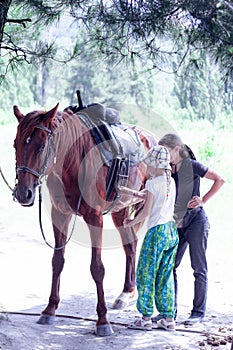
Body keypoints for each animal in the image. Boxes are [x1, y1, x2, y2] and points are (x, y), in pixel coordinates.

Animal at [13, 103, 157, 336]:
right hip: (119, 211)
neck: (73, 162)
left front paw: (103, 321)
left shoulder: (94, 217)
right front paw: (50, 309)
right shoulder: (60, 215)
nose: (23, 193)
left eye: (42, 146)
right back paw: (126, 292)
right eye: (15, 144)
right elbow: (57, 261)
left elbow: (97, 268)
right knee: (131, 244)